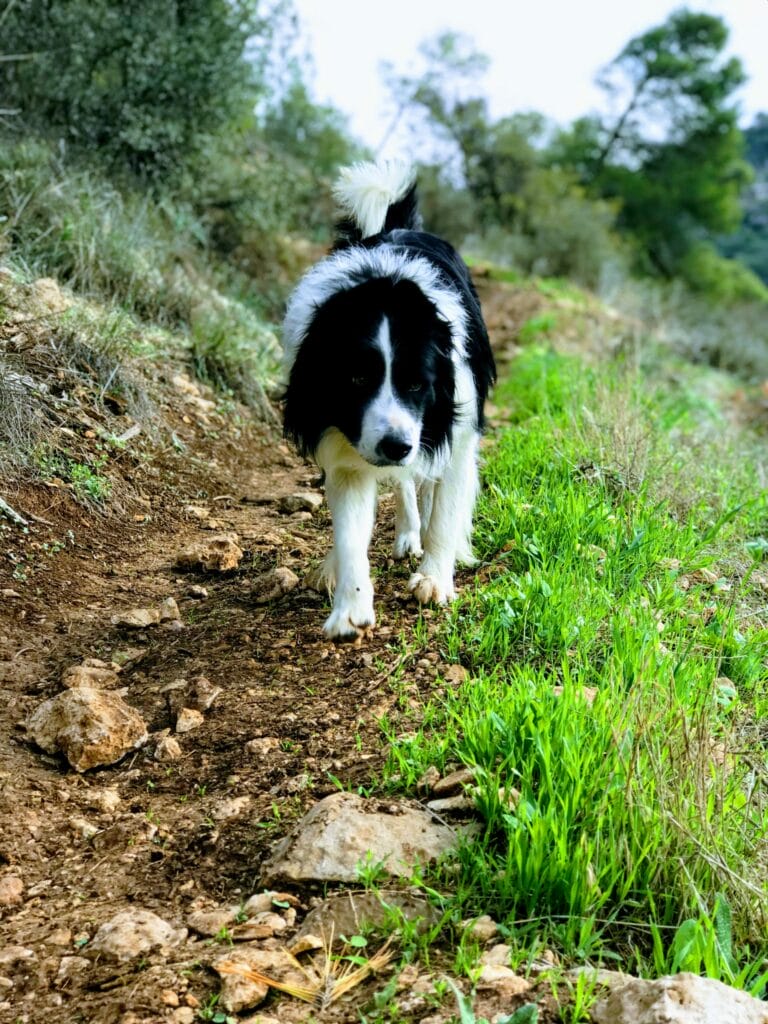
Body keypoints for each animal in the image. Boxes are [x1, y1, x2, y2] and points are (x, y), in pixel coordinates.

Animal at [280, 159, 493, 634]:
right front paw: (350, 608)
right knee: (403, 482)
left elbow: (446, 508)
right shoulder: (347, 440)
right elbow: (350, 523)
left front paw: (434, 580)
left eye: (416, 384)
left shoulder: (450, 423)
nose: (395, 446)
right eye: (358, 378)